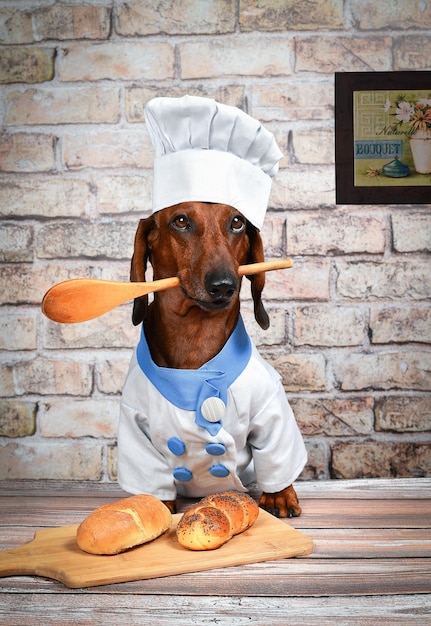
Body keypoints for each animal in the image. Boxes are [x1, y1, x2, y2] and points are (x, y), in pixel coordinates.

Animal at [119, 200, 304, 516]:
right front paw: (154, 505)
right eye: (181, 221)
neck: (196, 336)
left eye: (237, 222)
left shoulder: (271, 409)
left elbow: (275, 454)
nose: (223, 285)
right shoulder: (134, 422)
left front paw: (280, 495)